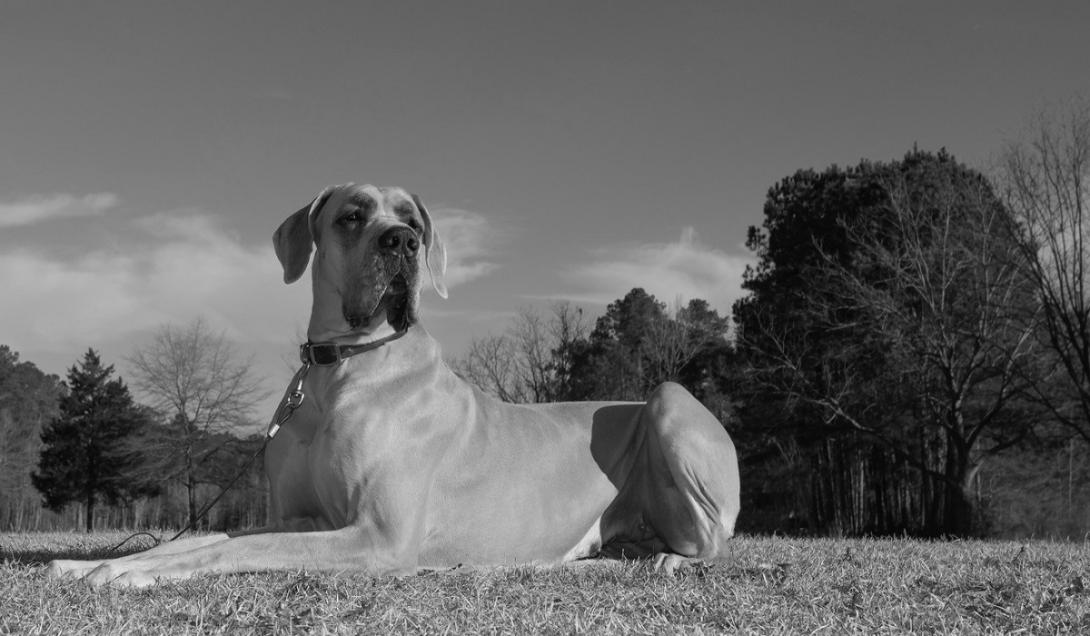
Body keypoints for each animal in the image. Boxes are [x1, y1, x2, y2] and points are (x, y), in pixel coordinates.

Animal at [42, 183, 741, 589]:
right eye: (352, 217)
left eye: (414, 222)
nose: (401, 241)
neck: (339, 366)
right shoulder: (302, 515)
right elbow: (212, 537)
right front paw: (95, 562)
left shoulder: (377, 534)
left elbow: (222, 550)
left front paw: (119, 574)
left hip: (668, 399)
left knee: (713, 541)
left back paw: (673, 560)